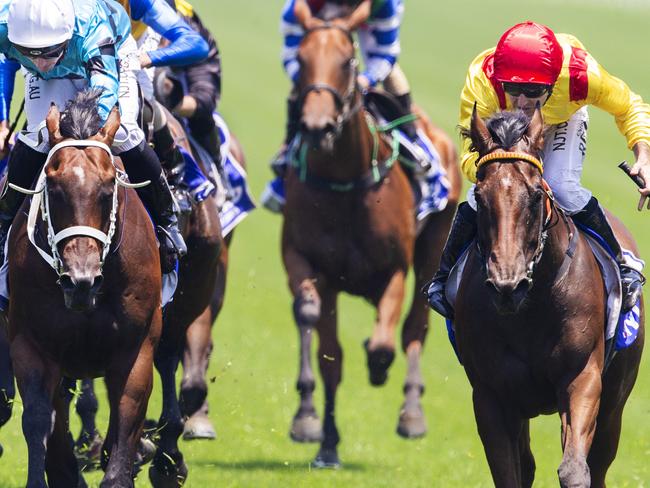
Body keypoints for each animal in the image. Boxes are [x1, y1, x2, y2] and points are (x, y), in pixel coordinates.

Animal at [6, 93, 161, 486]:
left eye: (107, 191)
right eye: (54, 188)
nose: (80, 279)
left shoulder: (136, 352)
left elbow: (126, 421)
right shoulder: (30, 345)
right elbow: (38, 422)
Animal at [280, 24, 458, 468]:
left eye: (347, 61)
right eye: (301, 59)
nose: (317, 126)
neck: (345, 181)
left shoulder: (395, 268)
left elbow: (382, 343)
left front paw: (379, 368)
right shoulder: (305, 261)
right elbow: (324, 346)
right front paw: (314, 428)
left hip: (434, 245)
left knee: (414, 327)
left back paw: (411, 412)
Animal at [456, 107, 644, 488]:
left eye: (533, 195)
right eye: (480, 197)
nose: (508, 285)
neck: (531, 310)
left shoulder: (583, 378)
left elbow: (575, 470)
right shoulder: (490, 395)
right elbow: (510, 473)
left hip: (615, 404)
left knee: (598, 464)